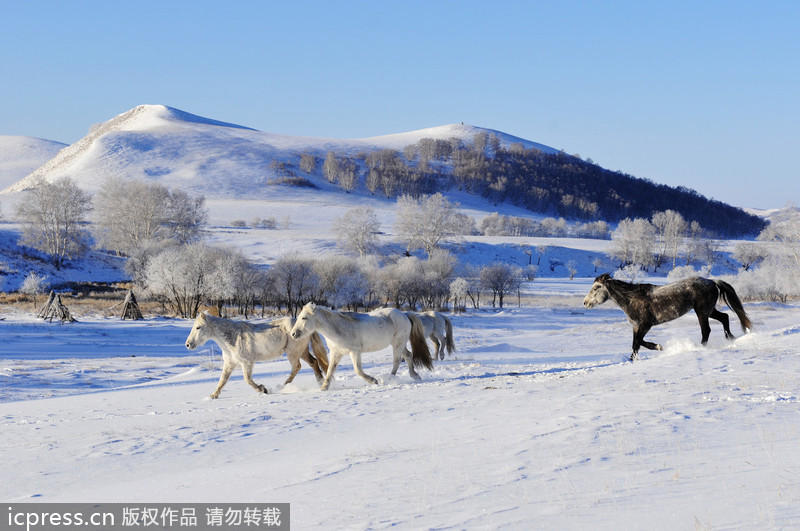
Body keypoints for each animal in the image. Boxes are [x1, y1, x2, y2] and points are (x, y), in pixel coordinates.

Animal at [184, 312, 328, 400]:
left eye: (198, 327)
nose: (188, 344)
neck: (233, 337)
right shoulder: (230, 363)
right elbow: (222, 380)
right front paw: (213, 396)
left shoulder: (247, 362)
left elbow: (247, 379)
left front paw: (263, 389)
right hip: (301, 351)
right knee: (314, 362)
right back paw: (320, 381)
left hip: (293, 352)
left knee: (297, 367)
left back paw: (282, 386)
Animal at [290, 304, 434, 390]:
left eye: (304, 318)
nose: (293, 334)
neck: (338, 329)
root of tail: (404, 314)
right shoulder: (336, 353)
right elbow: (330, 371)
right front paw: (324, 388)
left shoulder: (355, 352)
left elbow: (358, 370)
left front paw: (373, 381)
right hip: (399, 344)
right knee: (408, 356)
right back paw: (415, 376)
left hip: (398, 343)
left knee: (397, 361)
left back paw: (389, 379)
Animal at [580, 274, 752, 362]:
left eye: (597, 287)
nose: (585, 303)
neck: (632, 299)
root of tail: (712, 281)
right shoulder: (636, 326)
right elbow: (636, 344)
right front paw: (634, 358)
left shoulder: (645, 325)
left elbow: (638, 343)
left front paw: (657, 347)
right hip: (709, 310)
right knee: (725, 317)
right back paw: (731, 338)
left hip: (702, 312)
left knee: (706, 330)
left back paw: (699, 347)